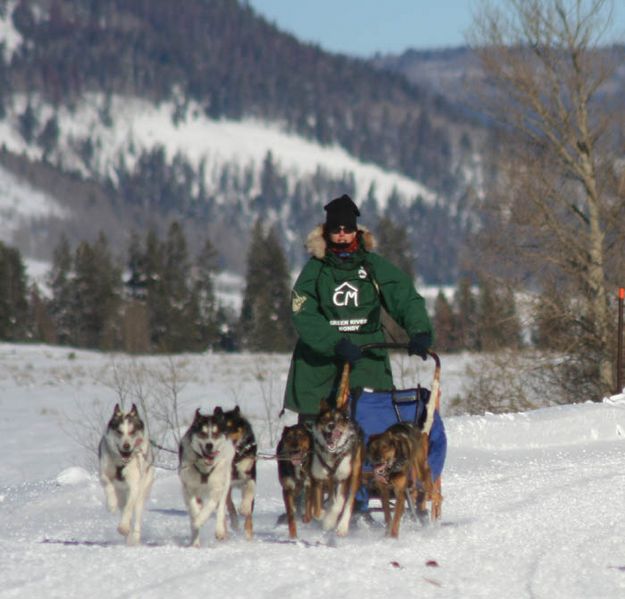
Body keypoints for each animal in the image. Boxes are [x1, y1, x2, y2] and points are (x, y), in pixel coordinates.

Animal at [99, 406, 155, 548]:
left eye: (132, 431)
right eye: (119, 432)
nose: (126, 446)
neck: (121, 463)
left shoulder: (134, 486)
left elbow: (129, 509)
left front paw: (123, 527)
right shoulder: (103, 473)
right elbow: (107, 483)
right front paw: (111, 504)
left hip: (141, 492)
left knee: (135, 515)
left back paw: (134, 538)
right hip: (121, 495)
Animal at [178, 408, 234, 548]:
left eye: (215, 434)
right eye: (202, 433)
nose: (209, 445)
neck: (204, 468)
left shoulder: (217, 488)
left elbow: (210, 507)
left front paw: (200, 520)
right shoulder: (188, 488)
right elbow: (193, 508)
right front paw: (196, 520)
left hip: (226, 482)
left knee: (220, 508)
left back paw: (220, 530)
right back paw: (195, 540)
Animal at [310, 400, 364, 536]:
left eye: (339, 420)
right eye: (325, 418)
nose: (331, 426)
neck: (333, 455)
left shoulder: (343, 478)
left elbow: (339, 504)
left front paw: (330, 521)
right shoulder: (317, 478)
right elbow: (316, 511)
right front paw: (324, 515)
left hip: (355, 475)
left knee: (349, 502)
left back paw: (342, 526)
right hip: (329, 479)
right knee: (331, 497)